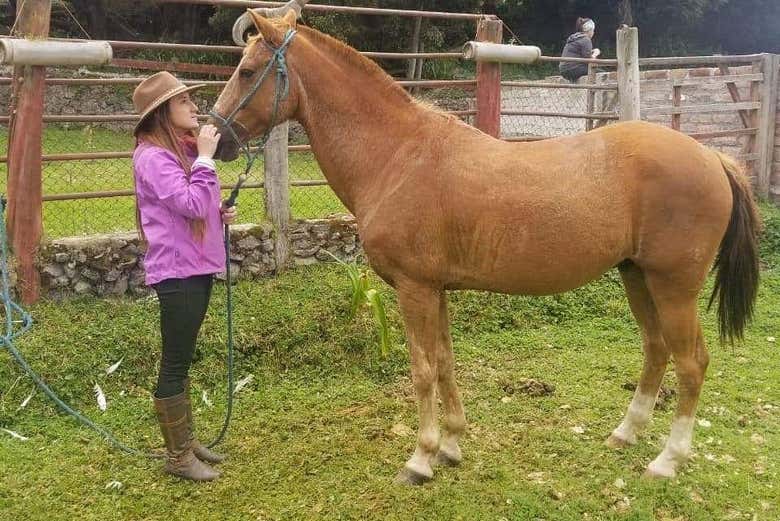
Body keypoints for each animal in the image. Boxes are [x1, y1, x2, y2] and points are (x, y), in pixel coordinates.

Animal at [210, 6, 761, 485]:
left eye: (248, 69)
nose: (216, 139)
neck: (398, 155)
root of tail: (713, 158)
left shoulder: (414, 288)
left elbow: (422, 369)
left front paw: (421, 458)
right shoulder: (435, 289)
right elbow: (445, 361)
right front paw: (451, 445)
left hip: (674, 286)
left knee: (691, 363)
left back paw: (667, 460)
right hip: (636, 276)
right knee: (656, 349)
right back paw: (625, 434)